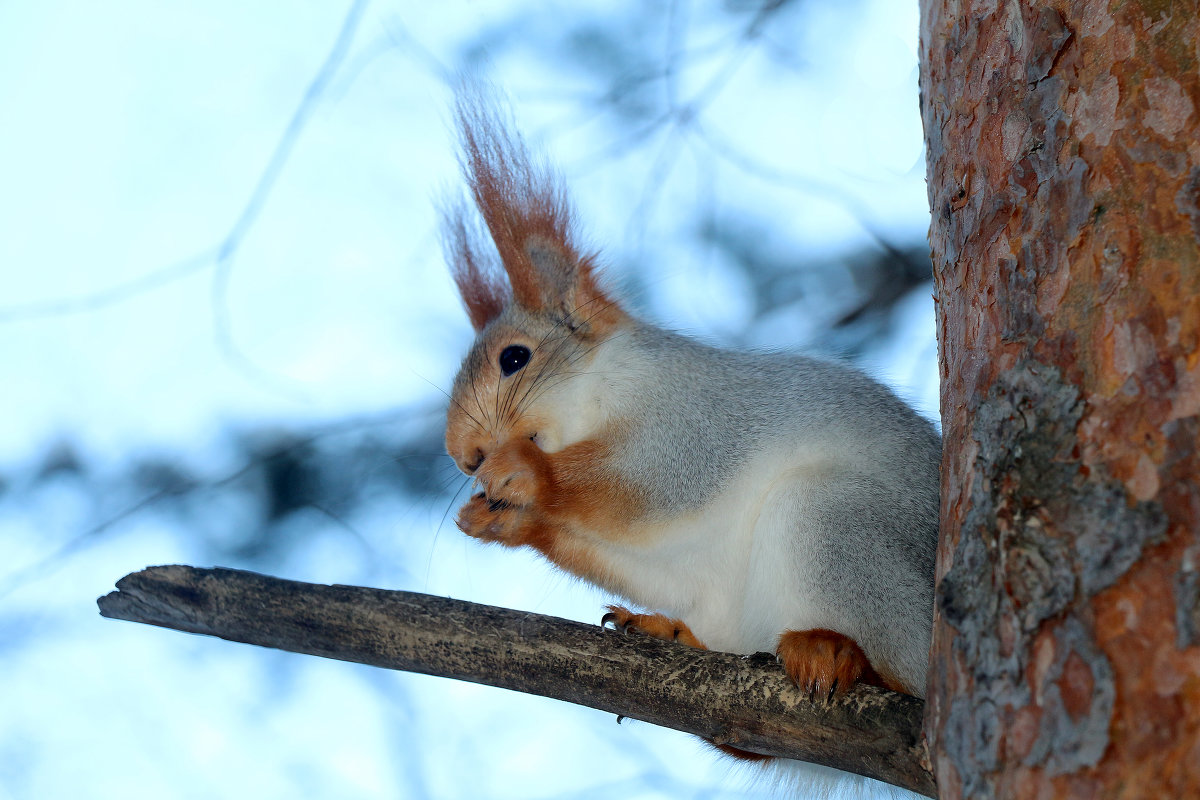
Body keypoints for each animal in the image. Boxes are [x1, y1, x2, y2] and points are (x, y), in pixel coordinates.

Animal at [441, 90, 936, 734]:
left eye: (515, 358)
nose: (463, 456)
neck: (599, 394)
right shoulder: (678, 559)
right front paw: (500, 520)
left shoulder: (697, 418)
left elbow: (652, 482)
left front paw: (527, 475)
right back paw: (670, 632)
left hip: (839, 524)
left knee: (906, 672)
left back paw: (839, 654)